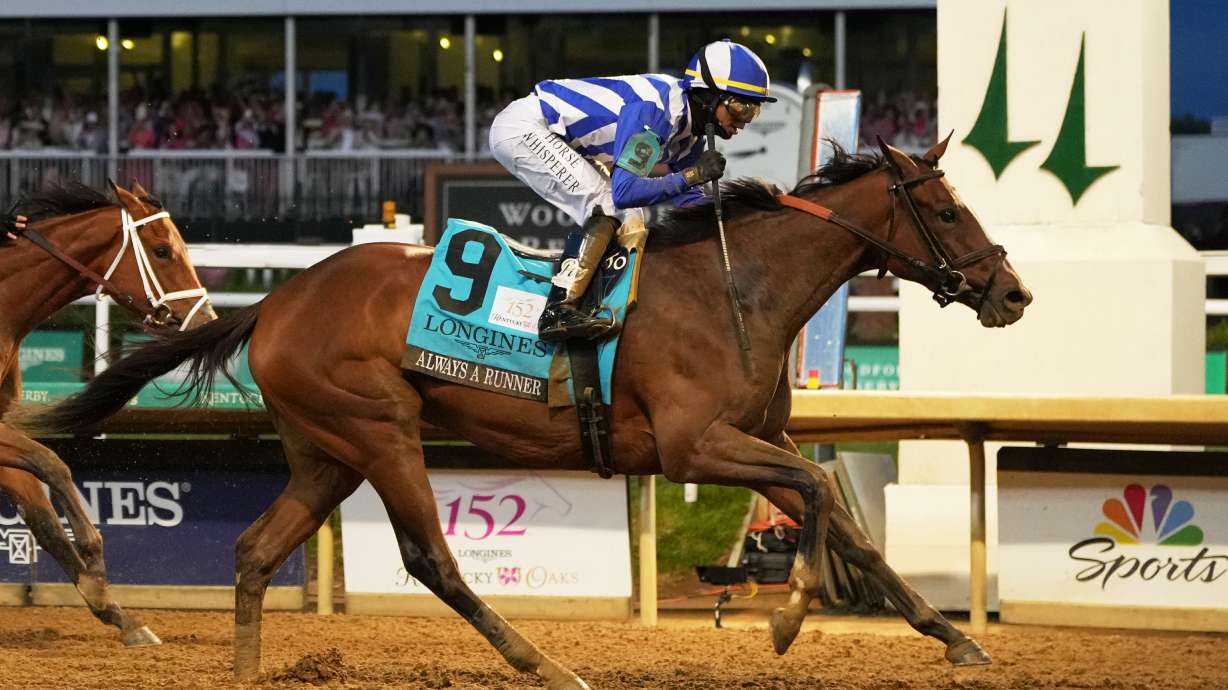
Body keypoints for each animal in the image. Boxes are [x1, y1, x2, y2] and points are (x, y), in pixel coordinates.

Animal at [1, 179, 215, 645]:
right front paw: (95, 568)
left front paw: (119, 615)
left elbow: (44, 520)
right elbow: (54, 464)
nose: (206, 320)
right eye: (162, 251)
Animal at [28, 138, 1031, 689]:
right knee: (430, 559)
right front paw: (787, 622)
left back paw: (246, 672)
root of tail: (274, 301)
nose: (1012, 292)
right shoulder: (693, 447)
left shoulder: (760, 433)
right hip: (379, 430)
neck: (736, 287)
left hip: (326, 451)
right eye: (947, 210)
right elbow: (821, 493)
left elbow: (850, 525)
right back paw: (545, 664)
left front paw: (955, 641)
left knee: (253, 550)